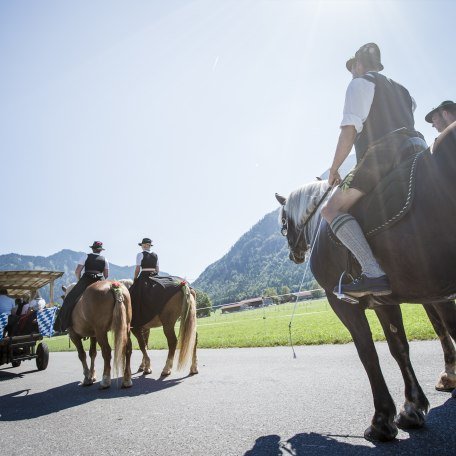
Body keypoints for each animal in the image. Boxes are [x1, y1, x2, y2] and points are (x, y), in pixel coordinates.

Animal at [274, 123, 456, 440]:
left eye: (284, 224)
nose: (293, 254)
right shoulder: (386, 301)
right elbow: (399, 347)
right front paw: (412, 407)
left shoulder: (343, 305)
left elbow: (367, 353)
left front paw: (382, 419)